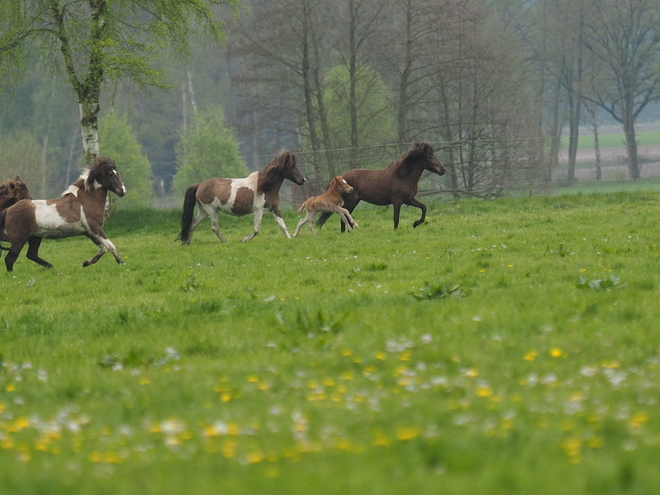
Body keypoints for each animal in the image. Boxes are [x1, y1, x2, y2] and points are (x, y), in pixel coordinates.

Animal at [178, 150, 306, 245]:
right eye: (291, 166)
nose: (303, 180)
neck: (265, 187)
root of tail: (200, 185)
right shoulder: (258, 211)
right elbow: (256, 230)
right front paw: (243, 240)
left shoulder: (275, 209)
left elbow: (282, 226)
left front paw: (290, 239)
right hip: (212, 210)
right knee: (214, 227)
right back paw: (225, 241)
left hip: (204, 211)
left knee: (193, 223)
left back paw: (187, 242)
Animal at [318, 141, 446, 231]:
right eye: (430, 157)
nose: (443, 170)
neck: (403, 176)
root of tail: (339, 178)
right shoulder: (397, 201)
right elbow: (396, 219)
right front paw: (396, 231)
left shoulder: (409, 200)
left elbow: (424, 207)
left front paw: (415, 223)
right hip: (351, 202)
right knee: (344, 217)